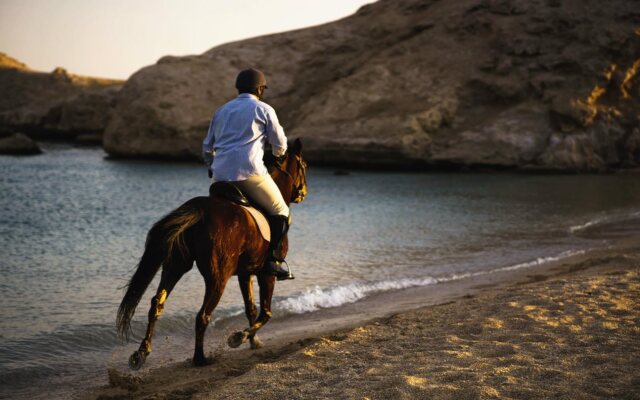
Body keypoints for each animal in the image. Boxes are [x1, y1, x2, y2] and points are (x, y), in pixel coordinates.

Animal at [117, 140, 308, 368]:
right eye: (304, 166)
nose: (303, 193)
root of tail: (198, 210)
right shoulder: (266, 273)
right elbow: (266, 312)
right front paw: (239, 337)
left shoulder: (245, 273)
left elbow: (251, 308)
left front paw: (253, 341)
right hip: (218, 278)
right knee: (202, 315)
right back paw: (200, 358)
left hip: (175, 266)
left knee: (157, 304)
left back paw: (141, 353)